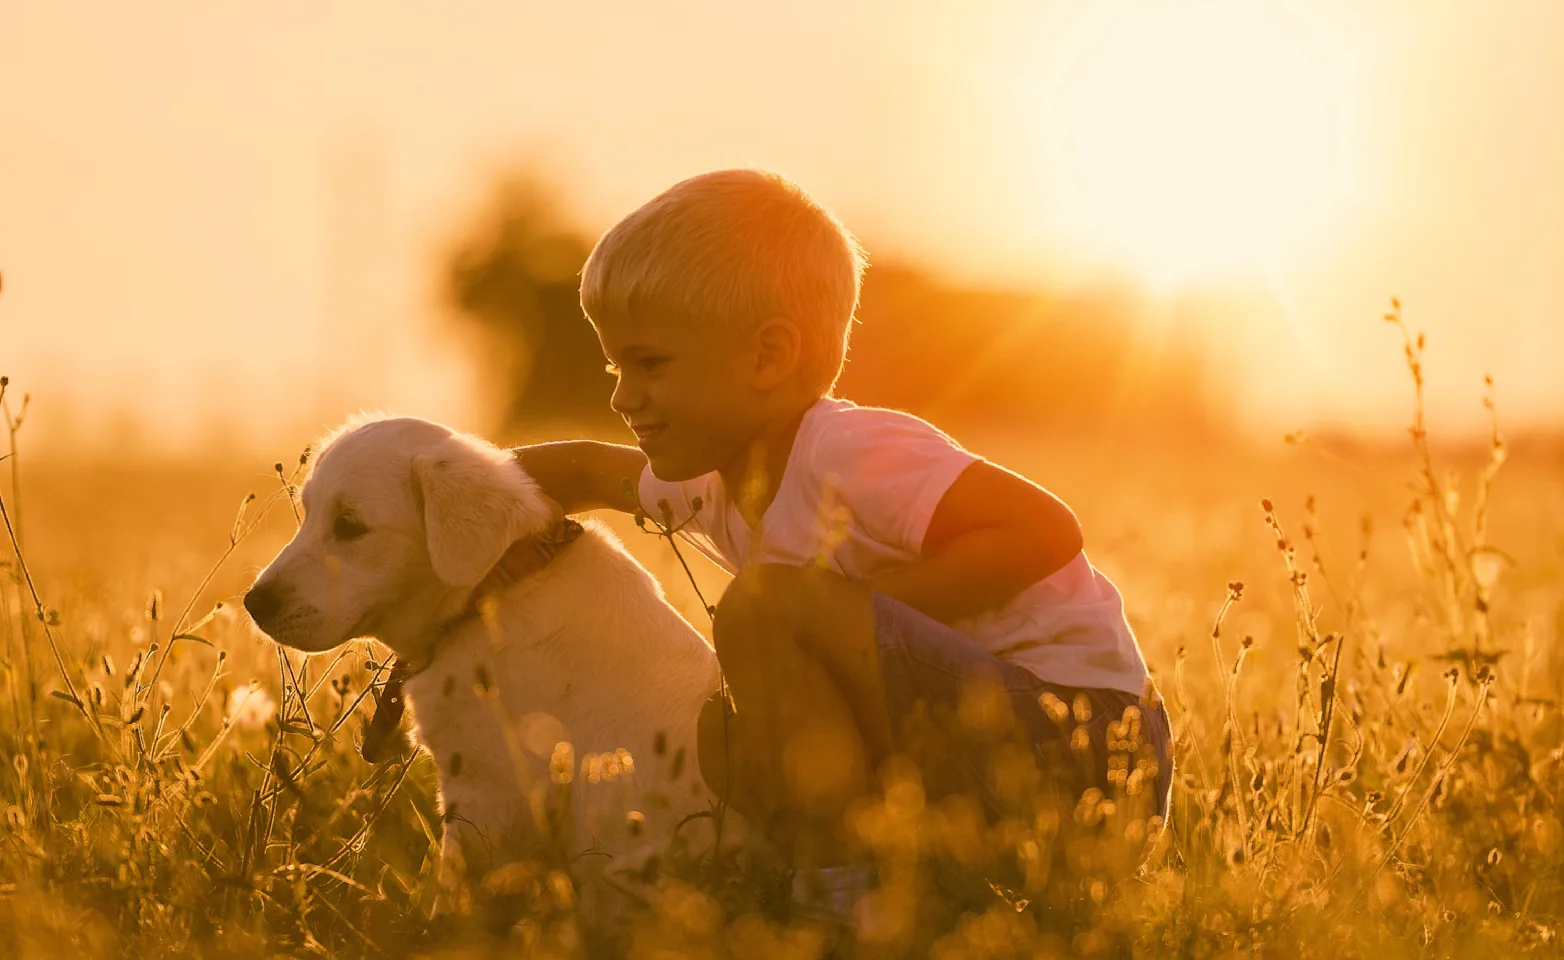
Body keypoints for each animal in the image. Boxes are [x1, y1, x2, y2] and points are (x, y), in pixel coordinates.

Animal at [245, 419, 725, 919]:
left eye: (349, 525)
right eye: (309, 515)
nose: (253, 603)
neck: (490, 594)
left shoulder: (492, 793)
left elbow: (460, 889)